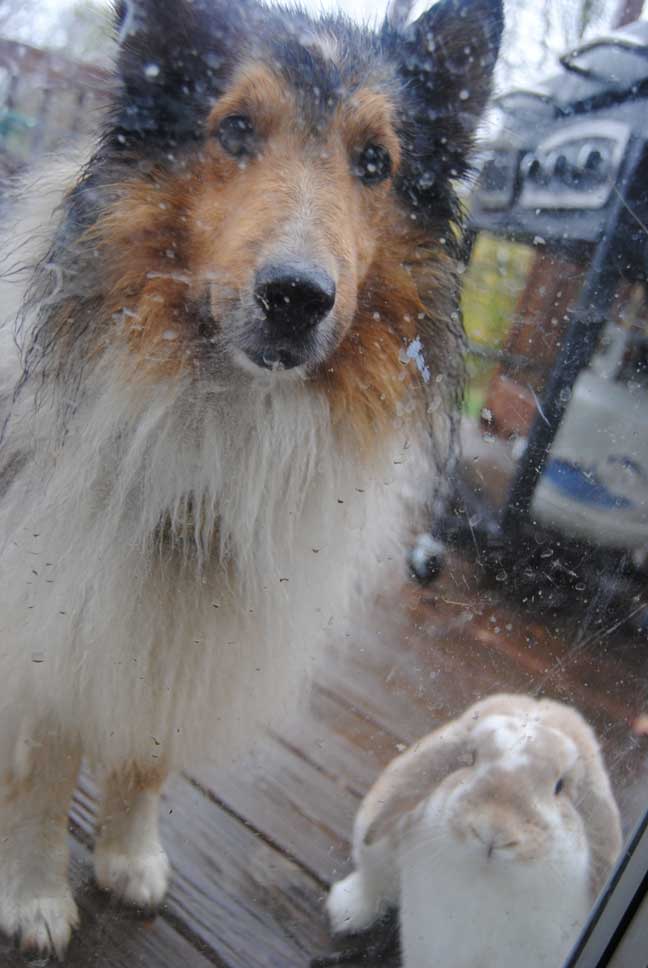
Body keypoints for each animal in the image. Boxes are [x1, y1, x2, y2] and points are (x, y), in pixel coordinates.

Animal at [326, 693, 622, 968]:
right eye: (470, 759)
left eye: (560, 786)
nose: (493, 832)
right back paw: (344, 911)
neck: (487, 885)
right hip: (375, 846)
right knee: (372, 883)